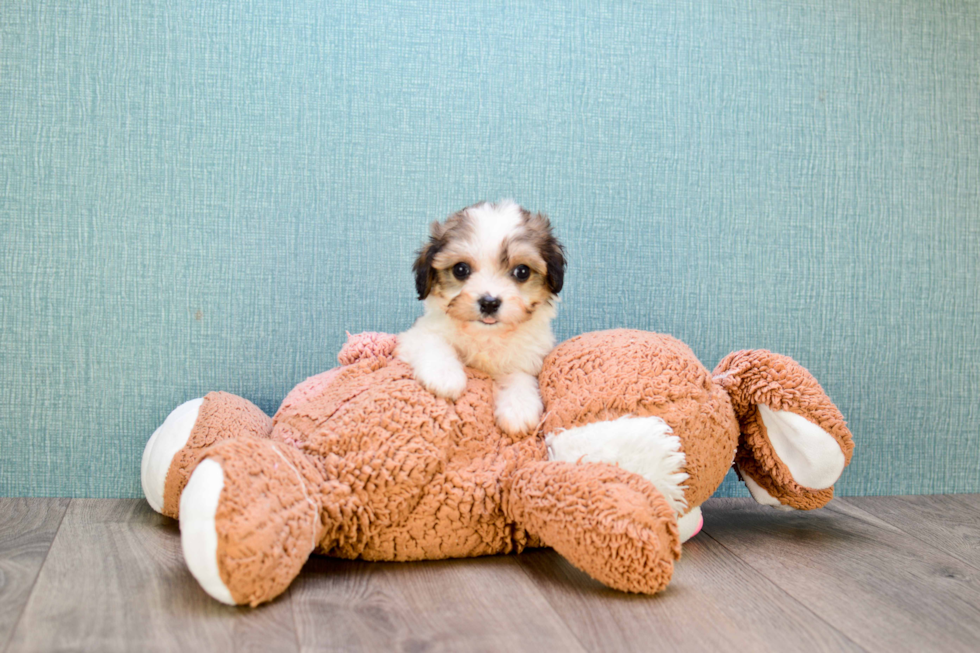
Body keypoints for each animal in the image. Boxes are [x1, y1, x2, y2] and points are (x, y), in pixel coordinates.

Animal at [396, 199, 568, 432]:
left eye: (522, 271)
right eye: (460, 269)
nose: (489, 302)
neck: (486, 335)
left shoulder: (528, 356)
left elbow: (519, 375)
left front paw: (519, 407)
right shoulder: (418, 334)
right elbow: (434, 344)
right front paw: (444, 374)